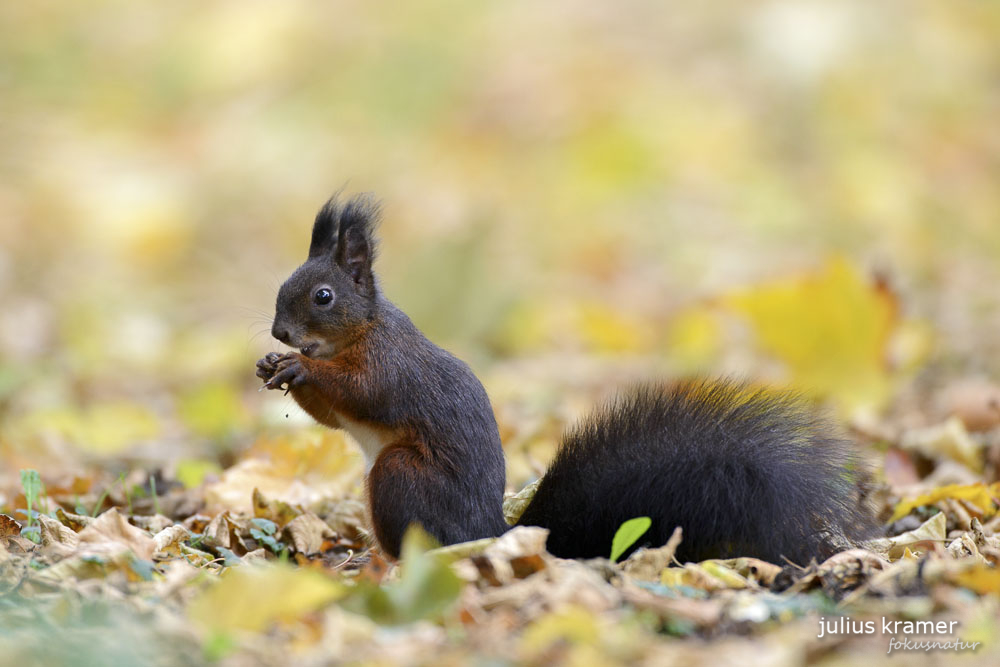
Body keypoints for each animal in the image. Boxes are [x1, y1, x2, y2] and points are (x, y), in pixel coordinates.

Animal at [256, 193, 876, 564]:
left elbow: (362, 394)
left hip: (400, 474)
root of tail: (487, 533)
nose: (281, 333)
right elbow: (334, 417)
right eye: (284, 285)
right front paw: (273, 368)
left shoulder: (390, 365)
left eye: (323, 296)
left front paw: (301, 367)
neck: (359, 332)